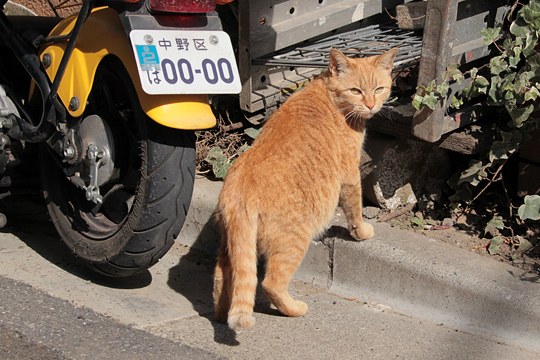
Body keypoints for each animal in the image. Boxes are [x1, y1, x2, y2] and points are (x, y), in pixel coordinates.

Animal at [214, 47, 396, 332]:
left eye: (378, 89)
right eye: (355, 90)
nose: (370, 105)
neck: (328, 95)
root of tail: (239, 188)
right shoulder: (350, 174)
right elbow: (354, 208)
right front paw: (362, 232)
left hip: (231, 245)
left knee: (223, 277)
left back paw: (221, 315)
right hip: (294, 241)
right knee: (270, 283)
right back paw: (295, 309)